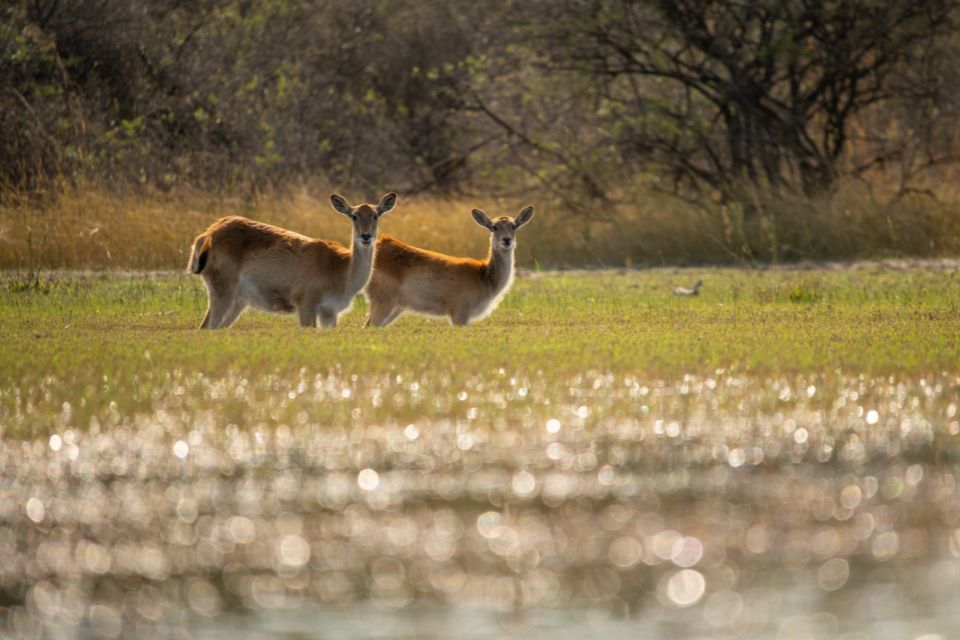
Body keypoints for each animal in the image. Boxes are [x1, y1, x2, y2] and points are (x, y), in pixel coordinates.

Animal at [187, 192, 397, 329]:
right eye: (354, 216)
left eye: (376, 215)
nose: (366, 236)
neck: (341, 273)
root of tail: (206, 235)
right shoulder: (305, 301)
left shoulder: (330, 311)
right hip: (222, 287)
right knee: (205, 326)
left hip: (238, 300)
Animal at [364, 205, 534, 327]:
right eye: (494, 227)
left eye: (514, 226)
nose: (506, 240)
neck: (484, 278)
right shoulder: (459, 311)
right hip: (384, 299)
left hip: (395, 306)